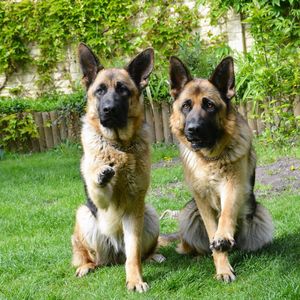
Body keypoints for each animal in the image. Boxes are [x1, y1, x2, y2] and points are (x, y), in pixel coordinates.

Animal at [71, 43, 161, 292]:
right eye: (100, 91)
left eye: (123, 90)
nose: (109, 109)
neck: (119, 146)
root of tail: (115, 254)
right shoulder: (101, 201)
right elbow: (99, 183)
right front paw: (102, 175)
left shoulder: (134, 205)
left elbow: (134, 254)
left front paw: (135, 279)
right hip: (84, 216)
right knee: (88, 256)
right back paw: (86, 266)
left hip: (149, 213)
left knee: (137, 252)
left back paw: (153, 256)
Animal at [169, 55, 274, 282]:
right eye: (186, 106)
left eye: (209, 105)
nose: (193, 130)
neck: (210, 159)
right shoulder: (202, 200)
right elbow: (213, 235)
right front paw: (223, 268)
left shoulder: (232, 186)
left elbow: (226, 215)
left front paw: (223, 237)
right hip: (189, 212)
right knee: (190, 246)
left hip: (260, 214)